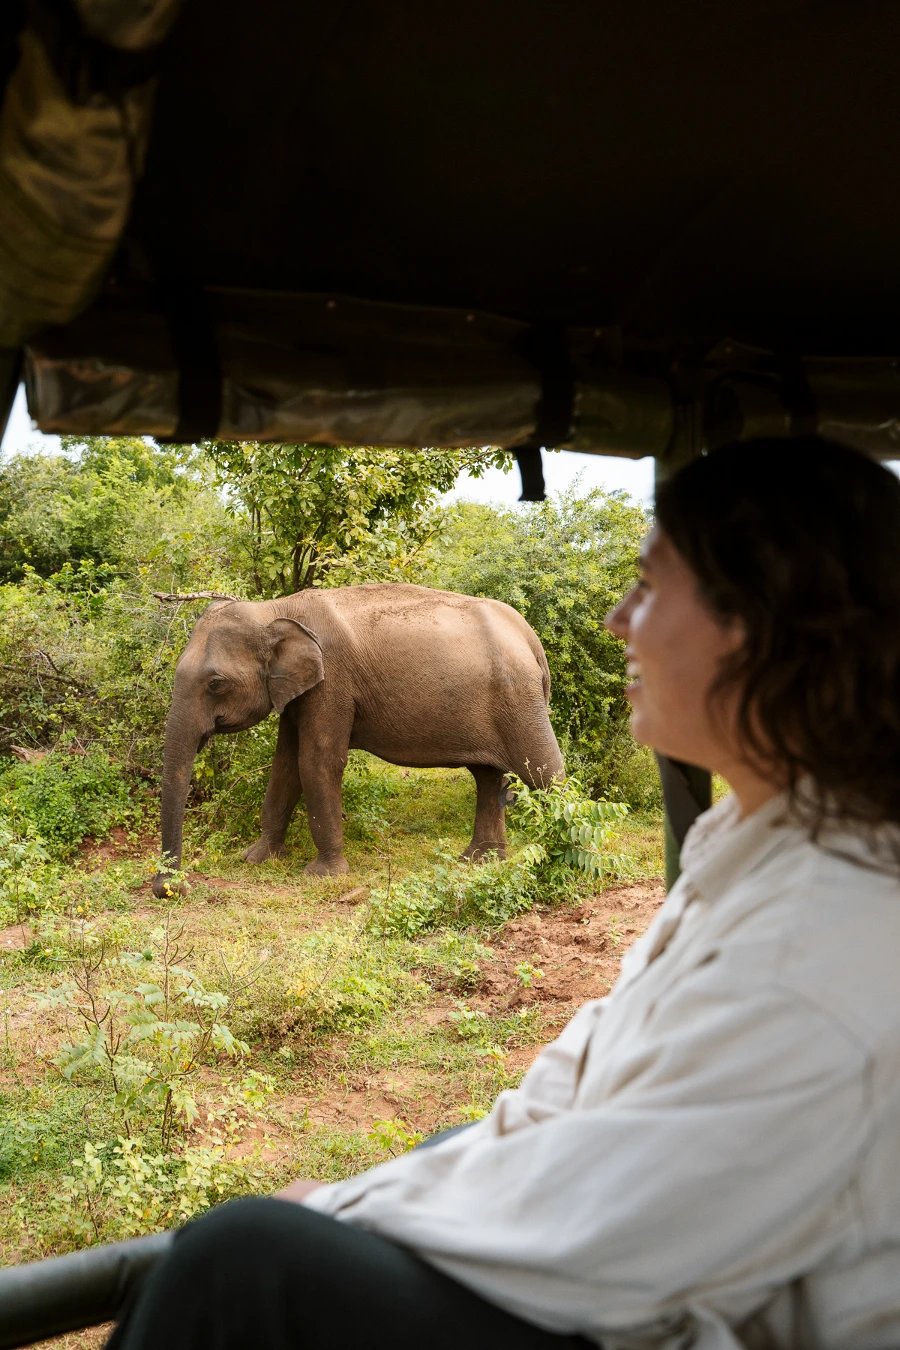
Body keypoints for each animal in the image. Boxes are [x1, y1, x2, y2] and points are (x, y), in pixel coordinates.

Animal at [152, 583, 564, 897]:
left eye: (215, 684)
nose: (173, 888)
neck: (275, 608)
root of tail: (531, 638)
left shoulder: (332, 683)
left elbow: (317, 762)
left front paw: (323, 875)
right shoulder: (301, 692)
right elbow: (284, 765)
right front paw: (255, 858)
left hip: (519, 697)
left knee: (544, 773)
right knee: (488, 777)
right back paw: (479, 861)